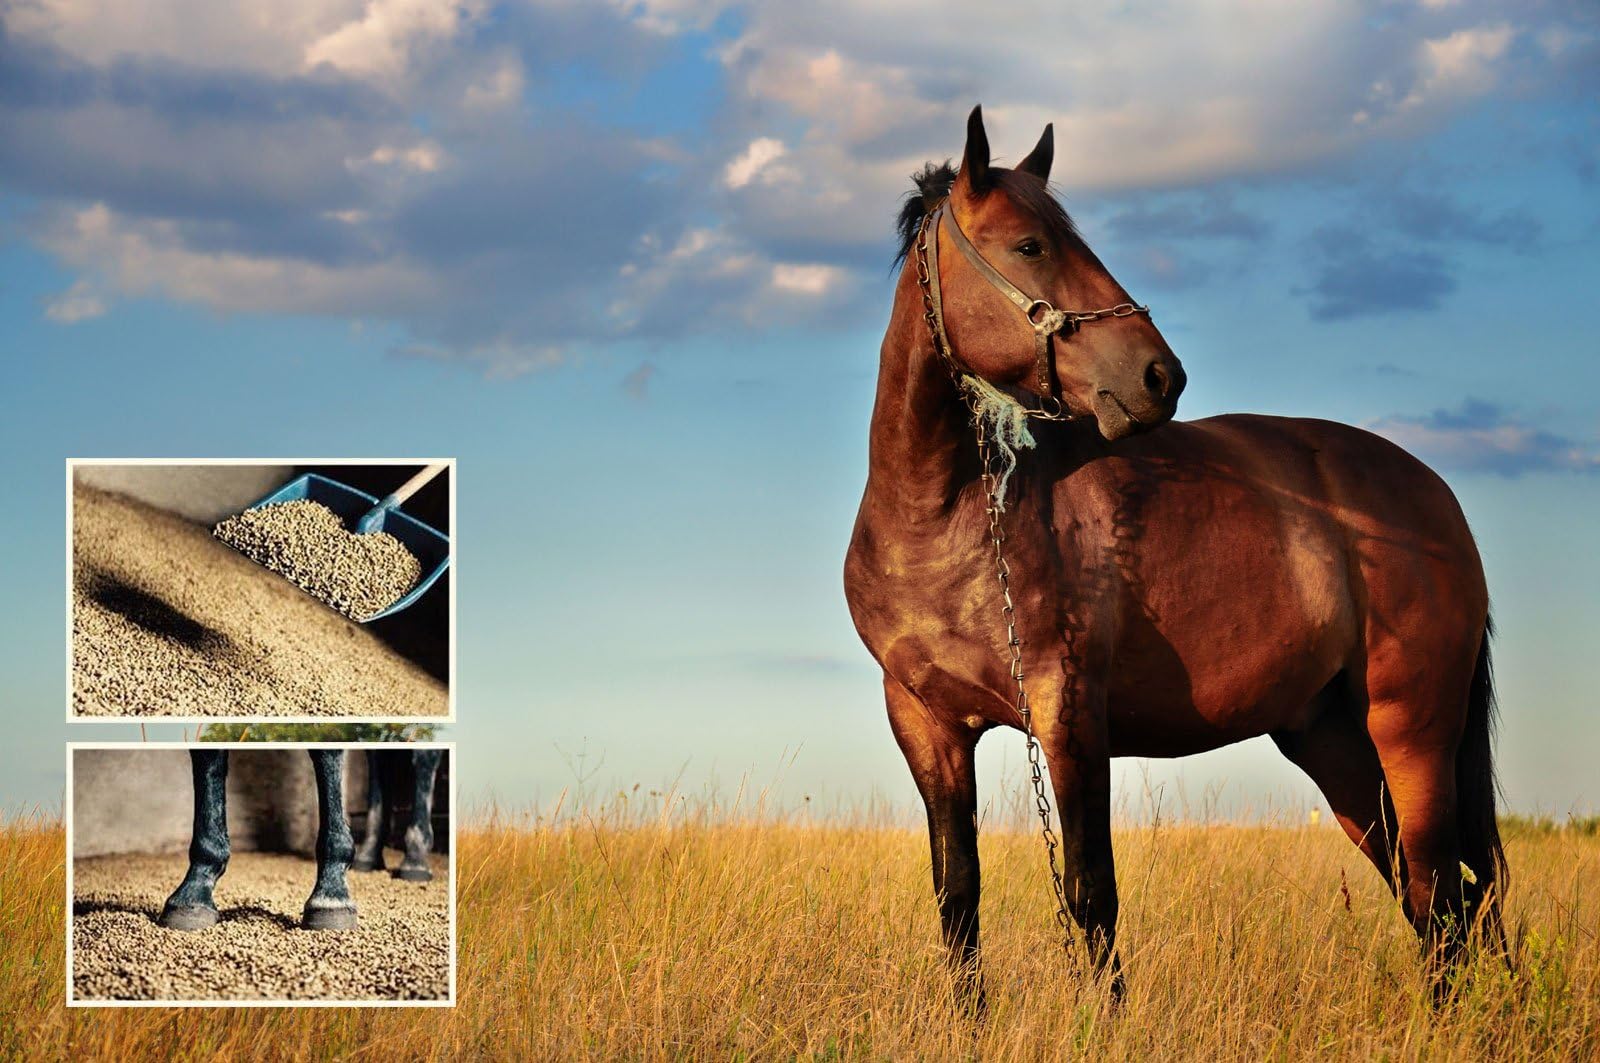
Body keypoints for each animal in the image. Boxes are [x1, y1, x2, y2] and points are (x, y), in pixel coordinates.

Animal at [843, 106, 1504, 1009]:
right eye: (1029, 245)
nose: (1162, 375)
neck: (942, 517)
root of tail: (1437, 496)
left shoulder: (1069, 713)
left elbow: (1090, 894)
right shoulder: (926, 723)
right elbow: (958, 895)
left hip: (1412, 731)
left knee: (1441, 895)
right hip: (1333, 743)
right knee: (1429, 893)